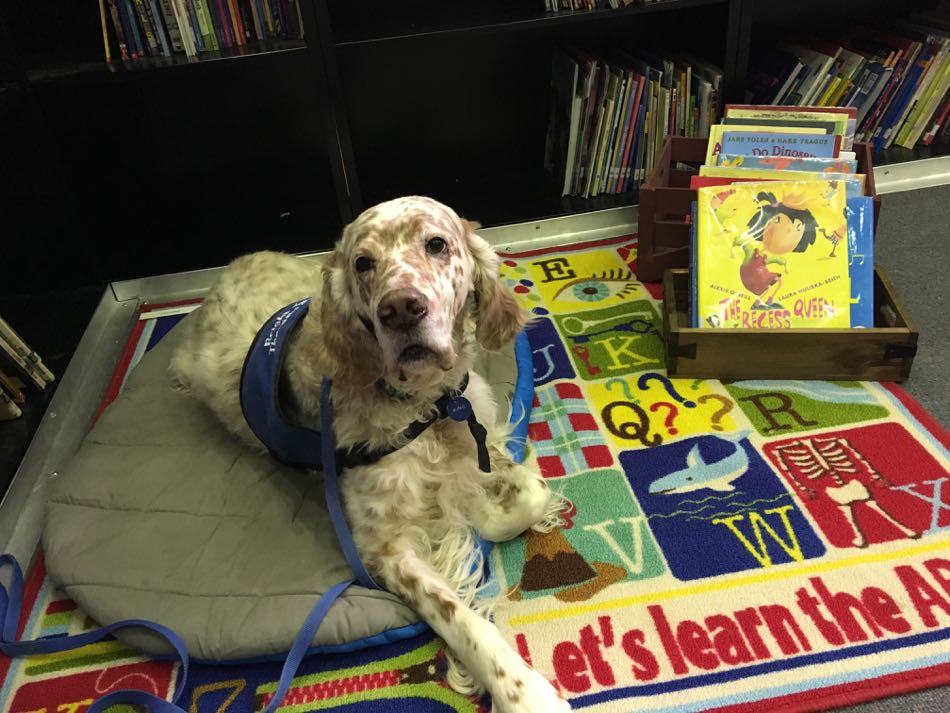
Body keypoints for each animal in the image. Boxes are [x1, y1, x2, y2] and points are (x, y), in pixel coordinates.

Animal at [170, 196, 572, 712]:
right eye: (363, 263)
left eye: (436, 244)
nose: (401, 308)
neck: (425, 406)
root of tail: (231, 268)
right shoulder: (383, 547)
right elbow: (460, 618)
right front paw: (522, 692)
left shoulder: (476, 430)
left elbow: (526, 494)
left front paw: (480, 507)